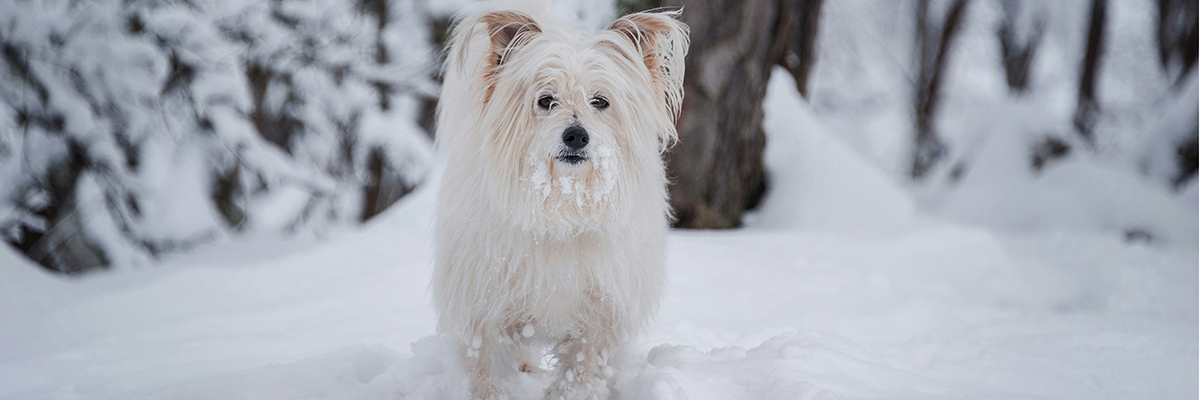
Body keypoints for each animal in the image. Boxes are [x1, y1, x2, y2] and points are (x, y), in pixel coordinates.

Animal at [436, 6, 691, 398]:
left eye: (600, 102)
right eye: (546, 100)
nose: (576, 135)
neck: (561, 210)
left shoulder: (601, 317)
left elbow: (581, 373)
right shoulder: (483, 309)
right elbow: (487, 369)